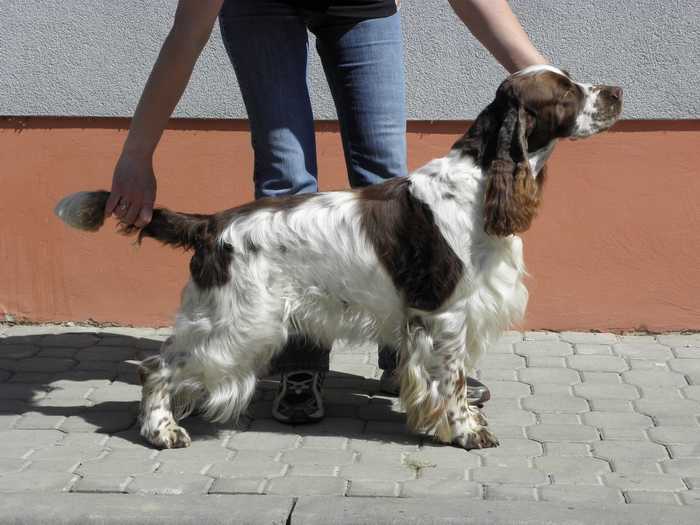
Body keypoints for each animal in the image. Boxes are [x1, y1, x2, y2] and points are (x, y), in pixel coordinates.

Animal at [56, 64, 624, 450]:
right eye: (566, 92)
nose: (618, 92)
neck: (481, 181)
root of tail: (213, 225)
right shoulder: (446, 313)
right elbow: (453, 380)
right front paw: (466, 431)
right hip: (242, 321)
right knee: (156, 366)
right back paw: (161, 429)